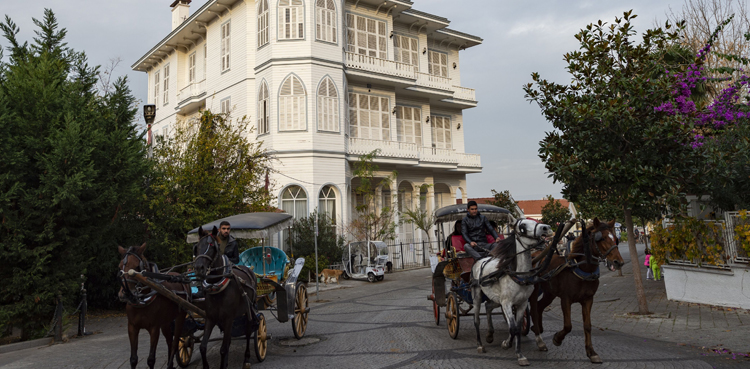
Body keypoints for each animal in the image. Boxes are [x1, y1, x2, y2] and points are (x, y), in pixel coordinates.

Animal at [192, 224, 260, 368]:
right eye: (197, 246)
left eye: (212, 246)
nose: (199, 268)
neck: (217, 287)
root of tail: (249, 269)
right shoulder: (211, 318)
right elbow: (203, 347)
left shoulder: (229, 318)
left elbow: (223, 349)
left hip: (248, 310)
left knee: (248, 331)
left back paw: (246, 358)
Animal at [472, 218, 556, 366]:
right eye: (522, 226)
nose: (546, 228)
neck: (518, 275)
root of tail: (480, 260)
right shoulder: (506, 303)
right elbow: (513, 328)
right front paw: (510, 346)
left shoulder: (521, 304)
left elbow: (517, 326)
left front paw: (516, 351)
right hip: (477, 295)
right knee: (476, 320)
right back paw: (480, 345)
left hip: (495, 298)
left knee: (488, 306)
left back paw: (490, 334)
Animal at [528, 218, 628, 362]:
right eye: (602, 238)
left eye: (615, 238)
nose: (618, 262)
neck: (581, 268)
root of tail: (535, 255)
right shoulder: (566, 299)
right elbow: (568, 325)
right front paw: (557, 339)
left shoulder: (588, 300)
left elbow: (587, 325)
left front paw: (591, 352)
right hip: (535, 289)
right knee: (533, 308)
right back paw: (538, 336)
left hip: (550, 293)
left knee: (540, 306)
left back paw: (539, 328)